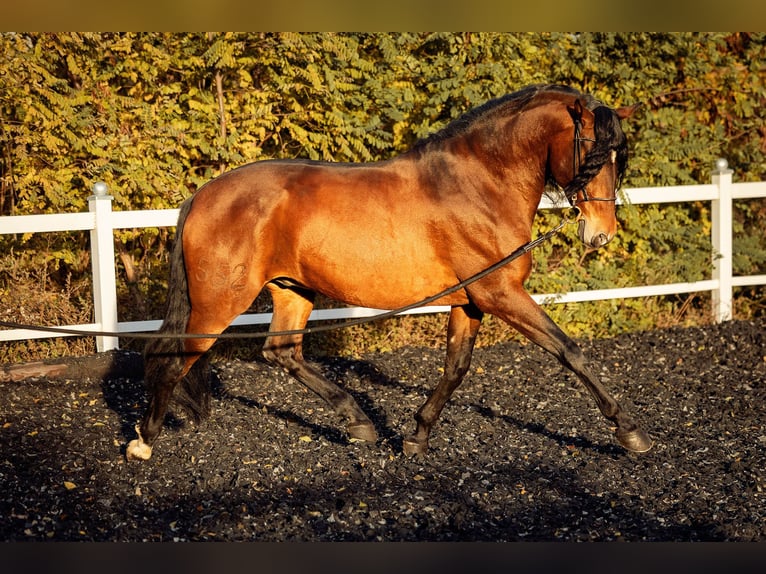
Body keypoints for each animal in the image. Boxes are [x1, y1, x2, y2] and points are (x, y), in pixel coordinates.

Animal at [126, 84, 653, 462]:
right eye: (593, 153)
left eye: (619, 156)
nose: (600, 234)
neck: (478, 185)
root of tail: (203, 195)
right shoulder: (501, 293)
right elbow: (569, 351)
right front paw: (629, 431)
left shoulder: (470, 301)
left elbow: (456, 368)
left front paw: (416, 437)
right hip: (219, 303)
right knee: (173, 358)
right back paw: (143, 441)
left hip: (292, 290)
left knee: (281, 352)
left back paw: (359, 422)